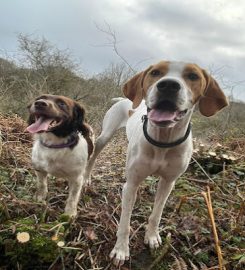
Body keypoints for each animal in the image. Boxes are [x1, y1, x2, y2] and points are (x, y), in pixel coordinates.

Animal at [85, 60, 229, 264]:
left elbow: (157, 214)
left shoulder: (168, 183)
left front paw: (152, 237)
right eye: (155, 72)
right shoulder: (131, 184)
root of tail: (123, 100)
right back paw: (86, 178)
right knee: (94, 154)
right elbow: (125, 222)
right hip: (105, 135)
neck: (163, 140)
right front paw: (121, 249)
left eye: (193, 76)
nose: (168, 85)